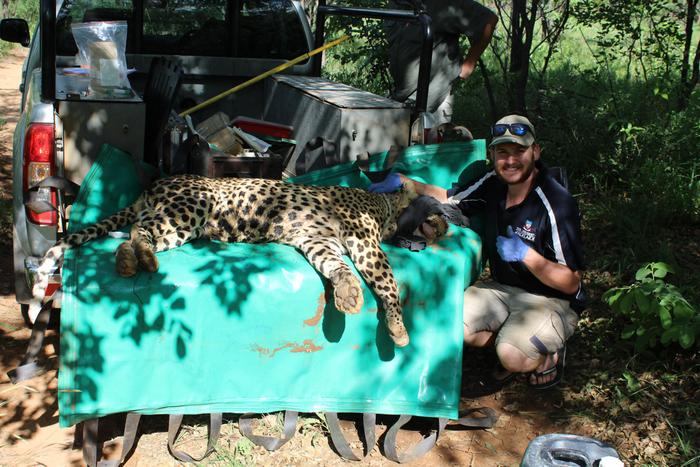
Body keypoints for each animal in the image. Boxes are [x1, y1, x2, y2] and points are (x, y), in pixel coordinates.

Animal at [32, 176, 446, 348]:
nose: (396, 231)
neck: (380, 203)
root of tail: (151, 187)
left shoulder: (319, 241)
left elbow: (336, 267)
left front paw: (346, 294)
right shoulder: (363, 240)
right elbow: (388, 282)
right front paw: (398, 328)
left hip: (180, 226)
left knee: (134, 235)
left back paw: (131, 263)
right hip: (191, 207)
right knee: (138, 229)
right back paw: (139, 259)